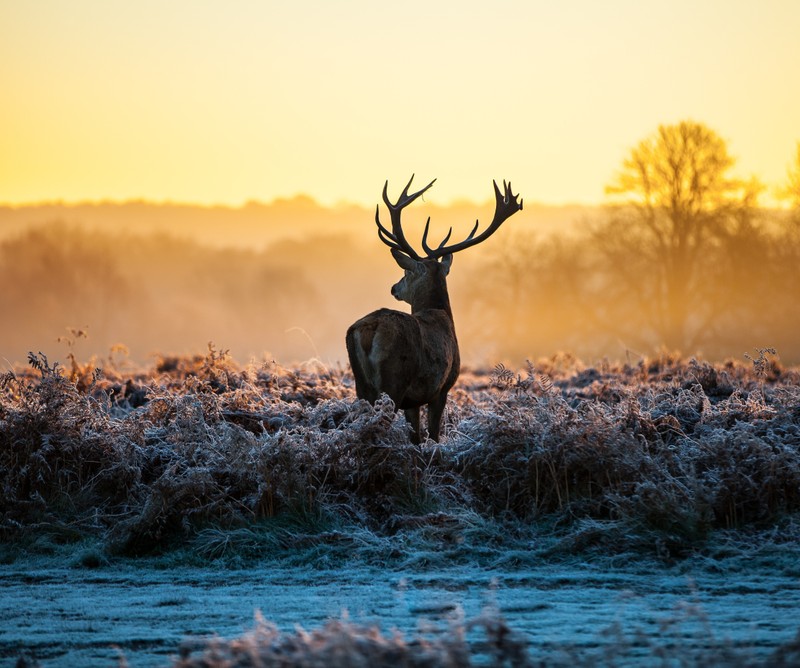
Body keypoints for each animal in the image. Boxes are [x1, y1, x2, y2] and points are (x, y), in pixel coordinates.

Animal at [346, 175, 520, 440]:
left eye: (406, 272)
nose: (394, 288)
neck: (440, 313)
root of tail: (369, 329)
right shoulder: (441, 388)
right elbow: (434, 435)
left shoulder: (414, 400)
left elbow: (416, 438)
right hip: (393, 381)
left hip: (362, 386)